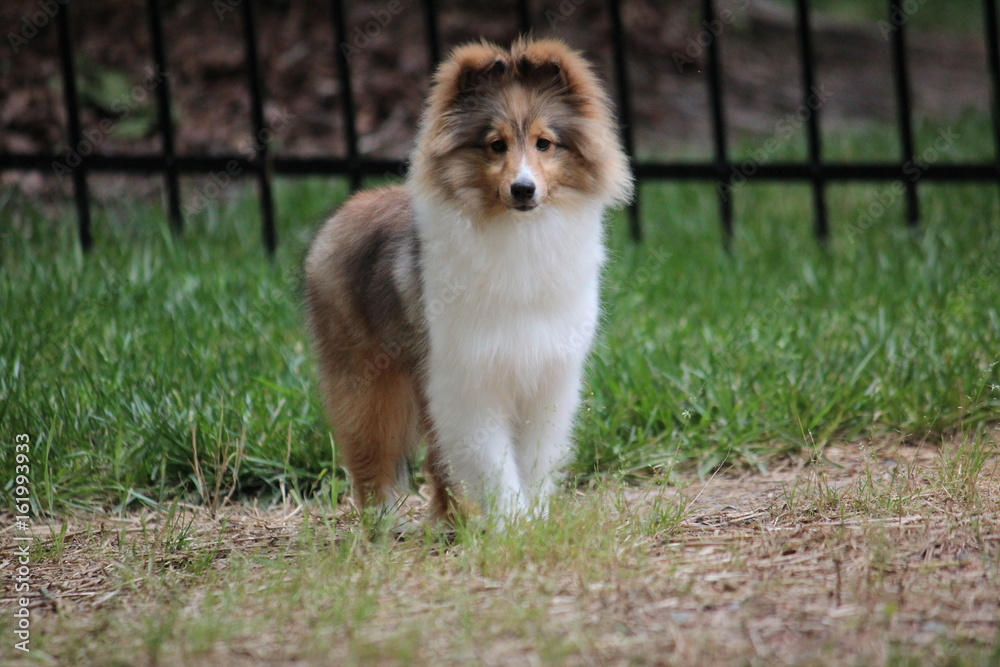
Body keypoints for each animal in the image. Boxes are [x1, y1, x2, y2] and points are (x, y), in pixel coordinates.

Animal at [302, 36, 632, 528]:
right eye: (495, 145)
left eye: (545, 143)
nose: (523, 189)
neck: (519, 236)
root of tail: (342, 213)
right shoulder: (470, 380)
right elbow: (492, 460)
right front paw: (512, 522)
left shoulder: (546, 378)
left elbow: (533, 459)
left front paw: (533, 519)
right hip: (370, 381)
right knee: (370, 455)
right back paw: (383, 523)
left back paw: (451, 522)